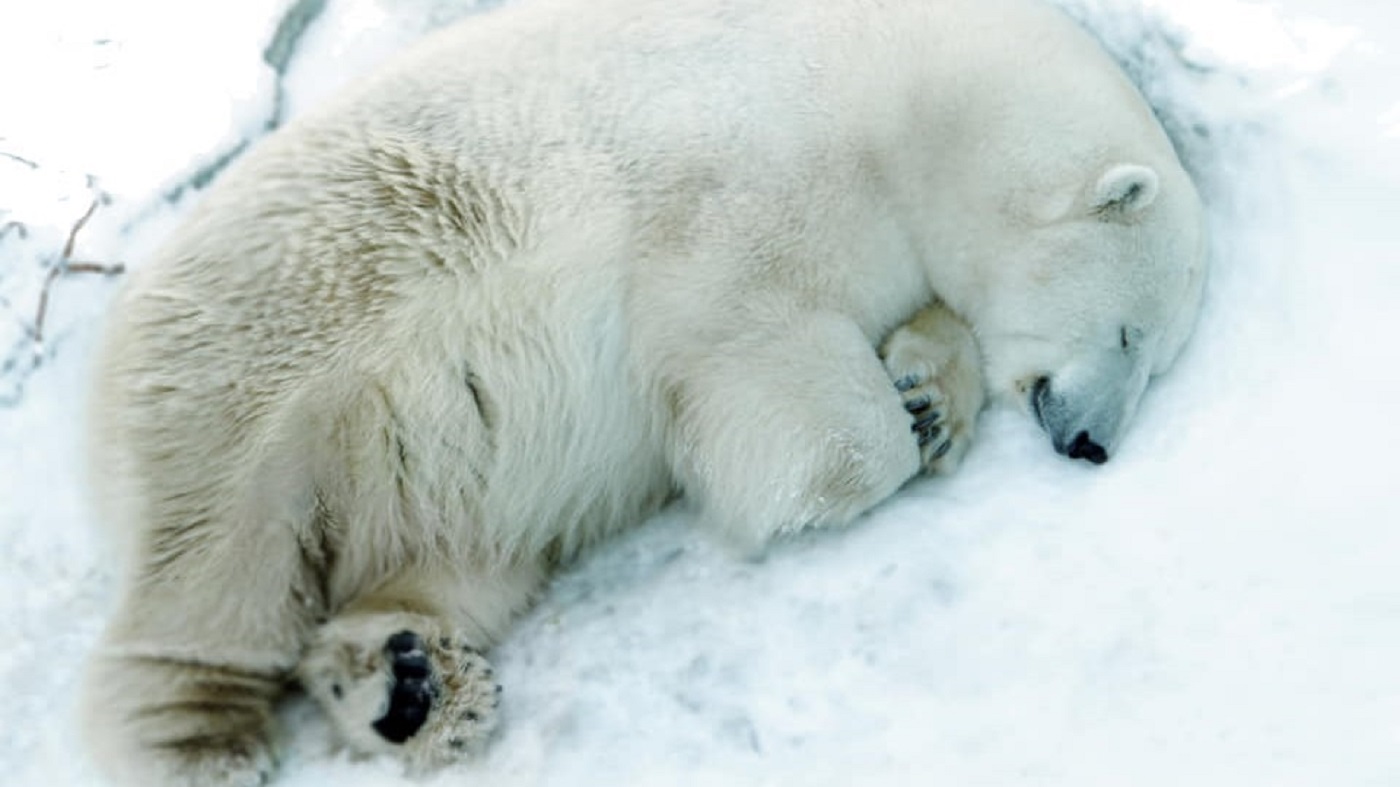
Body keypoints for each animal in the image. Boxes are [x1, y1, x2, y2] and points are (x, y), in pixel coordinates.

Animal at [81, 0, 1209, 778]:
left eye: (1155, 357)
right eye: (1132, 334)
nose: (1093, 443)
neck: (907, 89)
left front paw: (929, 397)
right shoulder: (746, 176)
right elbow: (749, 342)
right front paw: (840, 464)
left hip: (426, 475)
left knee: (453, 558)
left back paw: (408, 681)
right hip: (280, 343)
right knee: (220, 554)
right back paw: (202, 738)